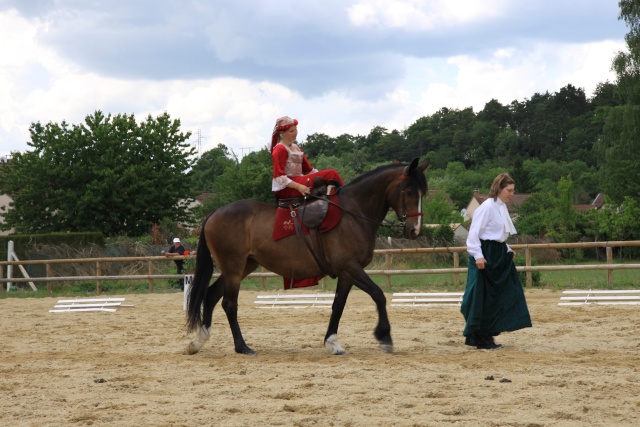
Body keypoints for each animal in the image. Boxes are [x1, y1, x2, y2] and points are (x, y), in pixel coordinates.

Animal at [186, 159, 430, 356]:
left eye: (423, 193)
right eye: (409, 191)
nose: (414, 230)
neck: (352, 214)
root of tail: (214, 213)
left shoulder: (347, 273)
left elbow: (338, 305)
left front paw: (332, 343)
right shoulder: (351, 267)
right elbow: (379, 295)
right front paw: (385, 337)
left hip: (244, 266)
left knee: (211, 295)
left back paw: (199, 341)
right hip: (234, 267)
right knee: (229, 303)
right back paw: (242, 346)